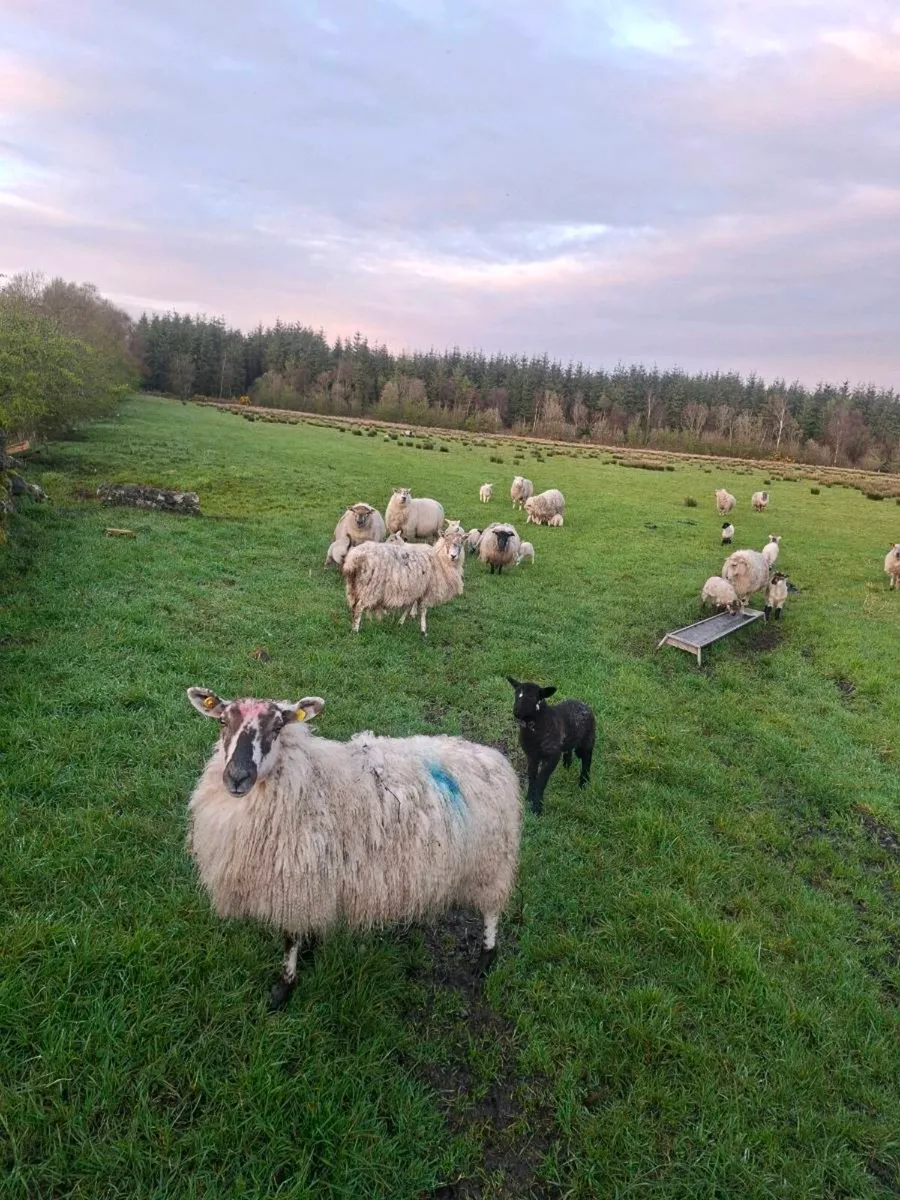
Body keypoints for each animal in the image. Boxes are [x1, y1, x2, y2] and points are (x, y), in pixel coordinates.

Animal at [186, 688, 522, 1009]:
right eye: (222, 722)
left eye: (278, 726)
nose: (237, 777)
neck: (306, 779)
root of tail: (492, 757)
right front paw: (310, 947)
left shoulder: (297, 883)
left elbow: (289, 939)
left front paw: (283, 989)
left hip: (492, 861)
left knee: (492, 910)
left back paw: (486, 958)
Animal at [506, 677, 596, 814]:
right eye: (516, 693)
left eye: (532, 696)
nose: (516, 711)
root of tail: (583, 704)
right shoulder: (531, 755)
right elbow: (532, 775)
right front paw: (529, 798)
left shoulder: (552, 755)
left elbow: (541, 779)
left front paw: (537, 807)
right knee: (569, 748)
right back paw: (567, 763)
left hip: (587, 740)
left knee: (587, 759)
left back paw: (584, 783)